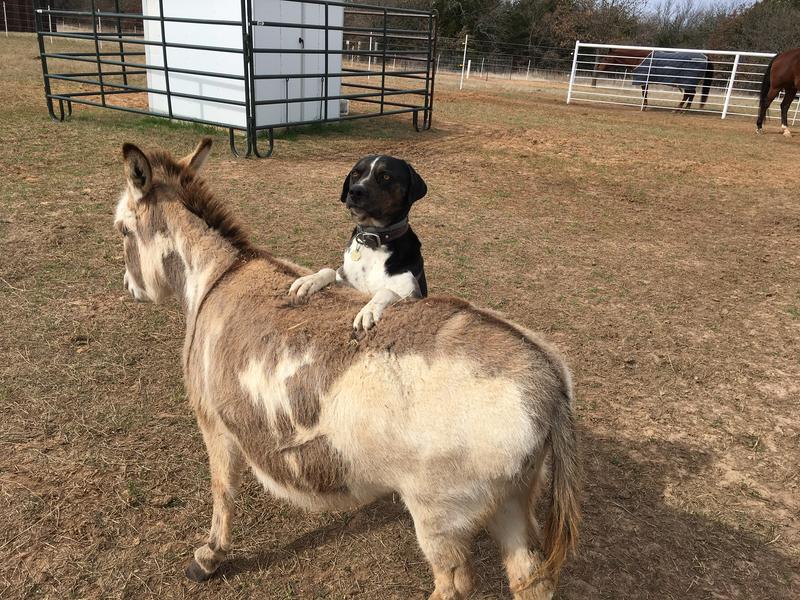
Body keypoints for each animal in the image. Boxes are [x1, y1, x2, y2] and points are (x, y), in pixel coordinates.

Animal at [286, 155, 424, 330]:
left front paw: (369, 310)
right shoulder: (346, 283)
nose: (355, 191)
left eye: (386, 176)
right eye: (355, 173)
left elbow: (386, 291)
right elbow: (330, 271)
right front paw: (309, 280)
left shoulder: (414, 296)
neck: (372, 240)